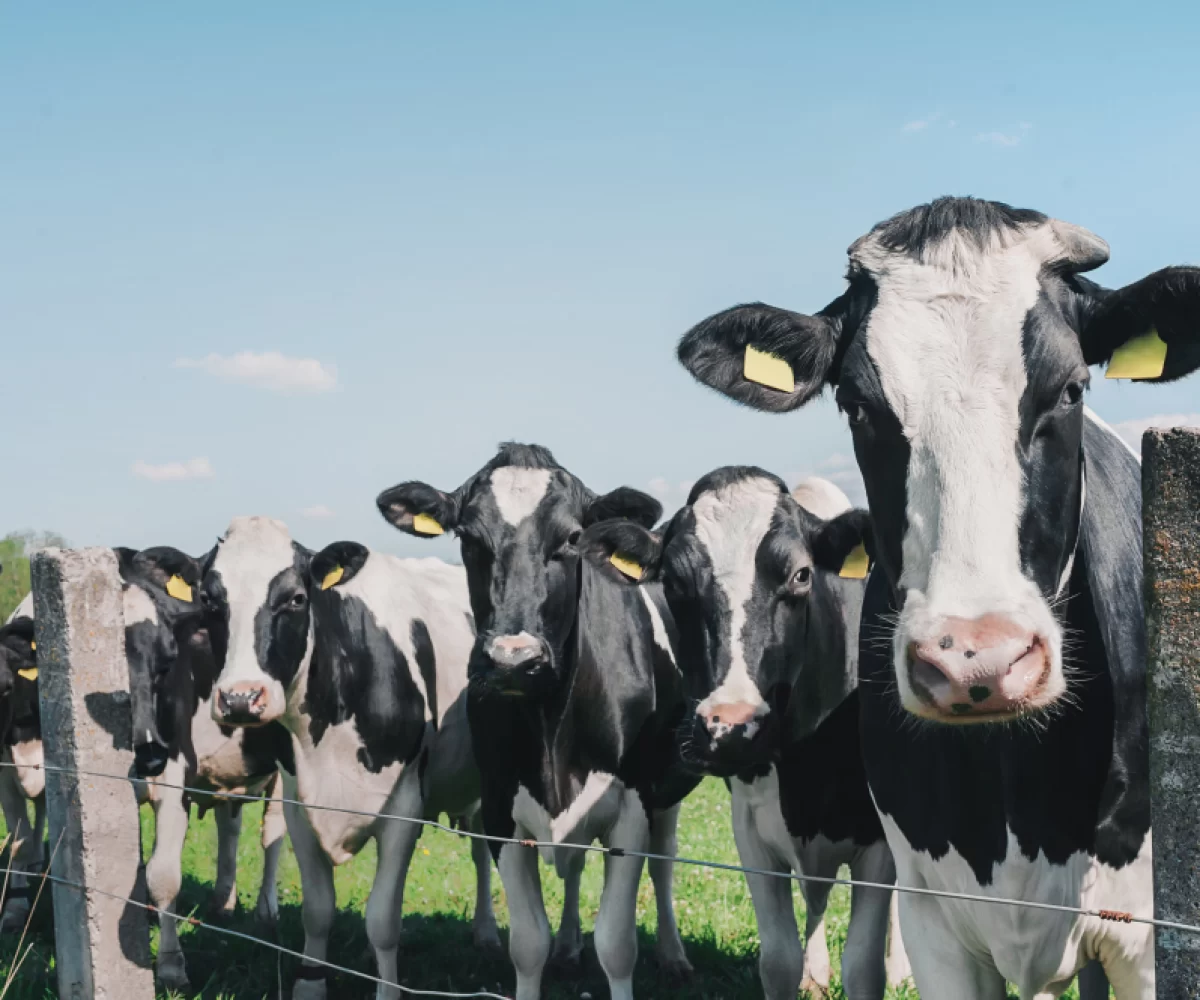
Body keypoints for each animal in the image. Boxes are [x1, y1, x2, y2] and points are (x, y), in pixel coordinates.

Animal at [114, 547, 290, 989]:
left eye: (167, 663)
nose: (147, 752)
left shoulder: (172, 771)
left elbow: (163, 874)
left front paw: (171, 966)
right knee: (230, 825)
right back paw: (223, 903)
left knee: (273, 833)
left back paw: (266, 913)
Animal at [200, 513, 496, 998]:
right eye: (208, 600)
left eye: (297, 598)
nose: (240, 698)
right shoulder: (298, 801)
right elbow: (318, 910)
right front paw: (310, 985)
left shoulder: (404, 807)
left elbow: (383, 920)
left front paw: (388, 990)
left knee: (484, 848)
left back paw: (487, 931)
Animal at [379, 441, 700, 998]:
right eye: (469, 538)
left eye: (571, 538)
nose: (513, 659)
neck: (554, 732)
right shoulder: (501, 809)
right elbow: (528, 944)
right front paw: (551, 951)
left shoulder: (633, 807)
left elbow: (617, 944)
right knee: (574, 868)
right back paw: (570, 948)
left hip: (666, 792)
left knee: (664, 862)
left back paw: (674, 954)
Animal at [576, 470, 902, 998]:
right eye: (674, 582)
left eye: (801, 575)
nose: (728, 727)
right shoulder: (751, 832)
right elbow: (779, 962)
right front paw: (803, 971)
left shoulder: (877, 841)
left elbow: (863, 968)